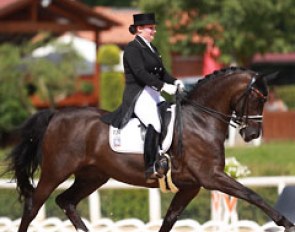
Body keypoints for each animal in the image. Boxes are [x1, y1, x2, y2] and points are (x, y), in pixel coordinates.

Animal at [4, 66, 295, 231]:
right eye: (259, 99)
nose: (252, 134)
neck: (201, 119)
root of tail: (56, 115)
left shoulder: (191, 186)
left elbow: (169, 220)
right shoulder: (211, 177)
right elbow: (251, 194)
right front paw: (286, 222)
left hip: (93, 176)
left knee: (66, 201)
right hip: (56, 171)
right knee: (32, 206)